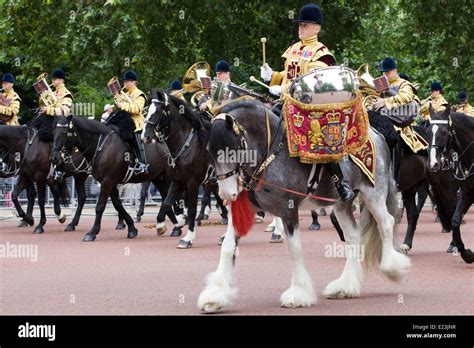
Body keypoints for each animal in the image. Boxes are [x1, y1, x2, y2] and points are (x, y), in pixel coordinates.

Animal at [51, 112, 184, 242]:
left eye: (64, 133)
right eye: (53, 133)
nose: (54, 157)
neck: (101, 146)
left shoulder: (107, 181)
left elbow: (100, 206)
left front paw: (92, 232)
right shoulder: (110, 183)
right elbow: (117, 205)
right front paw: (131, 228)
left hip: (170, 178)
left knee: (175, 197)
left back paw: (177, 224)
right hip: (158, 178)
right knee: (167, 198)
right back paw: (172, 225)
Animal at [142, 89, 214, 247]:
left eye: (158, 111)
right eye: (147, 110)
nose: (145, 137)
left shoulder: (192, 183)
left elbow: (192, 208)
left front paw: (188, 238)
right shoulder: (177, 181)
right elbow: (166, 203)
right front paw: (164, 225)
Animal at [196, 98, 412, 312]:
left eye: (234, 150)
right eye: (209, 152)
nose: (227, 194)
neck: (271, 153)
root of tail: (377, 134)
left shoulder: (288, 209)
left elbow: (294, 249)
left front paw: (298, 294)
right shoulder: (245, 210)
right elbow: (228, 247)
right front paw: (215, 297)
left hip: (373, 194)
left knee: (386, 223)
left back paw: (391, 267)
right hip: (342, 204)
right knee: (353, 234)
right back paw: (345, 286)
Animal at [430, 106, 474, 264]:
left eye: (444, 132)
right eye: (429, 131)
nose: (433, 163)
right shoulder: (466, 192)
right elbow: (455, 220)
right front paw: (467, 254)